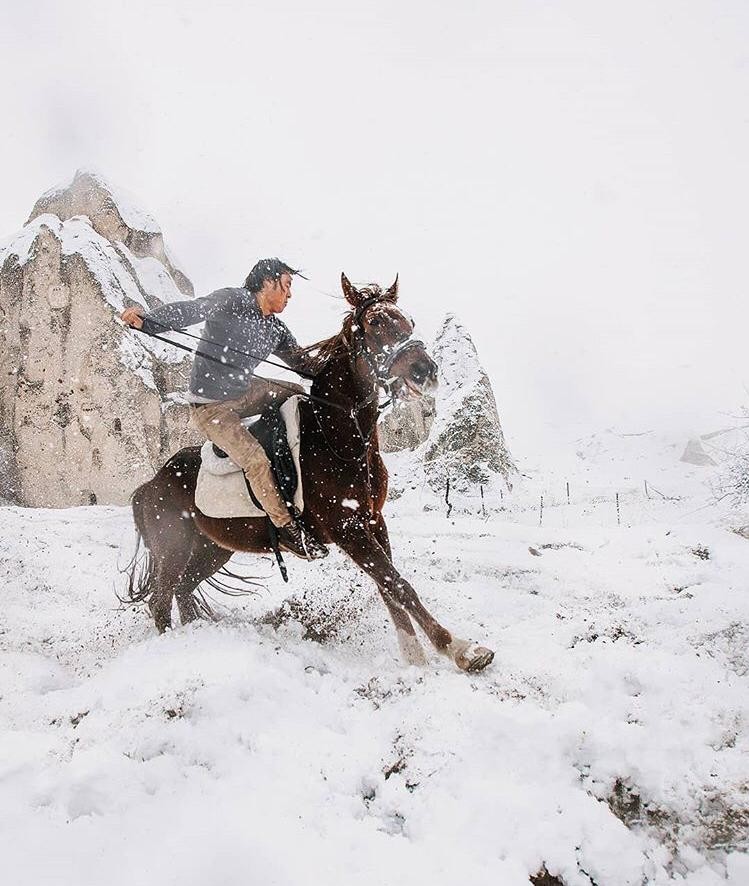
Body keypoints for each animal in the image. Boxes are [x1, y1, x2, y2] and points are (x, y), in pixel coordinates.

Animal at [124, 273, 495, 672]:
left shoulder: (373, 520)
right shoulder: (348, 529)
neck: (339, 437)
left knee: (182, 591)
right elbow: (398, 585)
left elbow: (388, 586)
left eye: (407, 320)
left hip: (213, 549)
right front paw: (461, 649)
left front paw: (413, 657)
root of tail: (150, 484)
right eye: (375, 322)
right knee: (161, 600)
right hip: (174, 549)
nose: (425, 371)